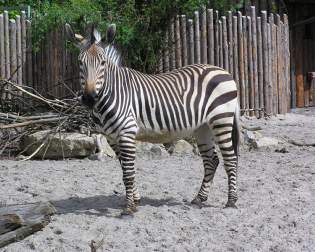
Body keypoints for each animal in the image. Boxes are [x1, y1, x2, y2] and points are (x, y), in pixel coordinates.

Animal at [65, 24, 241, 215]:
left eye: (103, 63)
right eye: (80, 62)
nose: (89, 98)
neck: (113, 92)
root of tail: (223, 70)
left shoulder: (127, 132)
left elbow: (128, 173)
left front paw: (129, 208)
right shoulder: (112, 138)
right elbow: (125, 170)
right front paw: (135, 199)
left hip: (221, 121)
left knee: (230, 159)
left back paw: (232, 201)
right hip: (203, 128)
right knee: (212, 161)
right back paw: (199, 198)